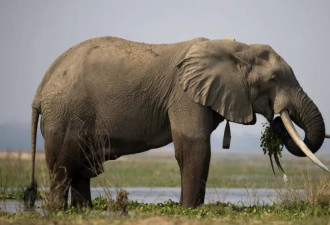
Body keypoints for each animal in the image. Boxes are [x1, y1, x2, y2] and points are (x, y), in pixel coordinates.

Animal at [24, 36, 328, 209]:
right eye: (274, 79)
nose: (277, 122)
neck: (236, 48)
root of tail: (40, 89)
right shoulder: (184, 94)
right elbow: (194, 147)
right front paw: (191, 211)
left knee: (81, 168)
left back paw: (83, 211)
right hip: (66, 114)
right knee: (64, 167)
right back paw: (58, 211)